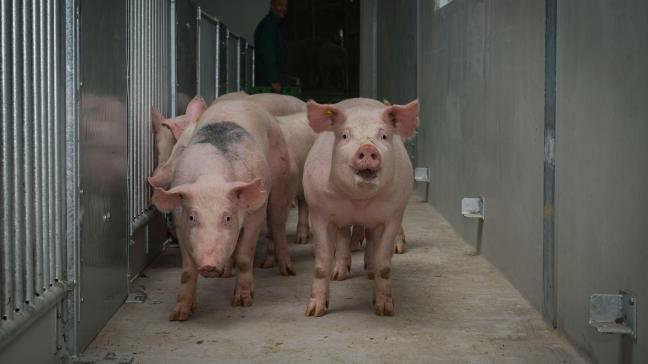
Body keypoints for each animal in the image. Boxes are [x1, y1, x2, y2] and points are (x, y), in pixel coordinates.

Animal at [149, 98, 296, 320]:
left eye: (227, 218)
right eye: (192, 217)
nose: (209, 264)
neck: (212, 177)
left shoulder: (255, 215)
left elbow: (245, 256)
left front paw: (243, 302)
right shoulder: (180, 223)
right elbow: (187, 271)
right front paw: (179, 315)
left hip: (281, 176)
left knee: (277, 222)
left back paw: (287, 271)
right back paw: (226, 272)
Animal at [304, 96, 420, 316]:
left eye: (383, 136)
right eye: (344, 135)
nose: (367, 148)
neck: (359, 202)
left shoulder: (392, 215)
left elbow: (384, 264)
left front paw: (384, 310)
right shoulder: (318, 212)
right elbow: (321, 264)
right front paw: (314, 312)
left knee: (370, 237)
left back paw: (371, 270)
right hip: (341, 220)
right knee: (344, 237)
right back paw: (339, 275)